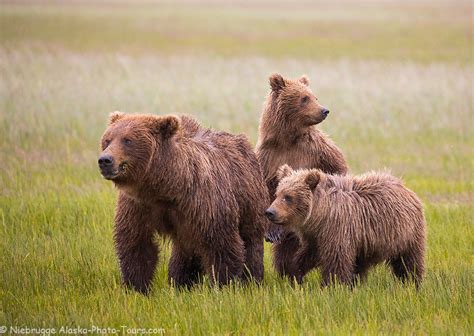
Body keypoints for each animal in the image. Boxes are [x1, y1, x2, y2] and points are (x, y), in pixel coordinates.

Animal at [98, 111, 268, 292]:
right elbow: (136, 243)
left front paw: (223, 284)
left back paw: (252, 279)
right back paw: (182, 283)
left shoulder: (204, 203)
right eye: (107, 139)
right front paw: (137, 287)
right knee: (186, 251)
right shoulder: (138, 205)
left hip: (249, 199)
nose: (105, 160)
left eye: (128, 140)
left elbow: (221, 244)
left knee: (251, 240)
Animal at [256, 73, 348, 278]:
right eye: (304, 98)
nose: (324, 110)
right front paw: (271, 232)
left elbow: (337, 167)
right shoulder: (268, 157)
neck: (288, 139)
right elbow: (267, 189)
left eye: (314, 96)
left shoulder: (316, 150)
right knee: (284, 252)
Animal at [266, 164, 426, 288]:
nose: (270, 212)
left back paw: (412, 282)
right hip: (367, 243)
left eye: (288, 197)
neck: (320, 215)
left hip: (406, 232)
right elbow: (308, 255)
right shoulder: (316, 235)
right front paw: (295, 274)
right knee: (361, 263)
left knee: (408, 260)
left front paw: (332, 286)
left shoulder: (338, 228)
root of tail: (405, 187)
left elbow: (336, 260)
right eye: (278, 194)